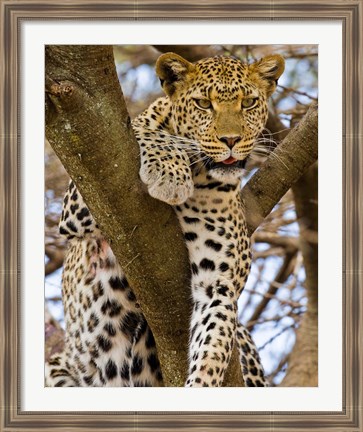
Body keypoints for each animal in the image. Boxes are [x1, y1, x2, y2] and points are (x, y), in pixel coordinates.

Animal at [44, 51, 284, 388]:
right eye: (203, 104)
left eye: (248, 103)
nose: (231, 140)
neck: (201, 173)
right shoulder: (80, 201)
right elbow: (149, 133)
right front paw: (170, 174)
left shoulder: (218, 286)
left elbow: (212, 351)